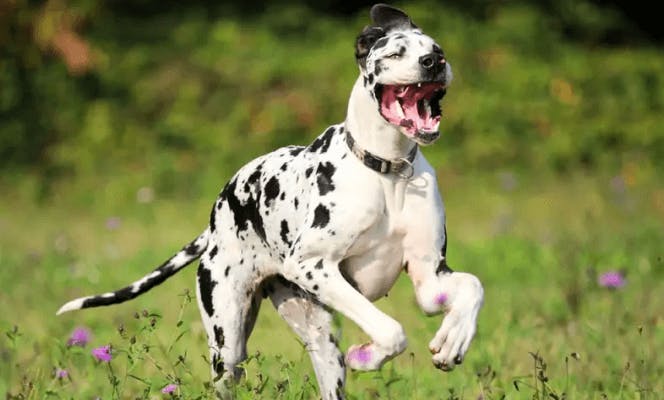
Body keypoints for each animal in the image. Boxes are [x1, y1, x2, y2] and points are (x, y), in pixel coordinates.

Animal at [58, 3, 482, 400]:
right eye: (396, 53)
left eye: (437, 50)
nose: (434, 62)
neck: (389, 173)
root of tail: (214, 221)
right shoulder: (313, 266)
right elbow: (391, 329)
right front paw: (368, 356)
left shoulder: (429, 275)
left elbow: (473, 287)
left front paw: (452, 340)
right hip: (230, 345)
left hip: (321, 344)